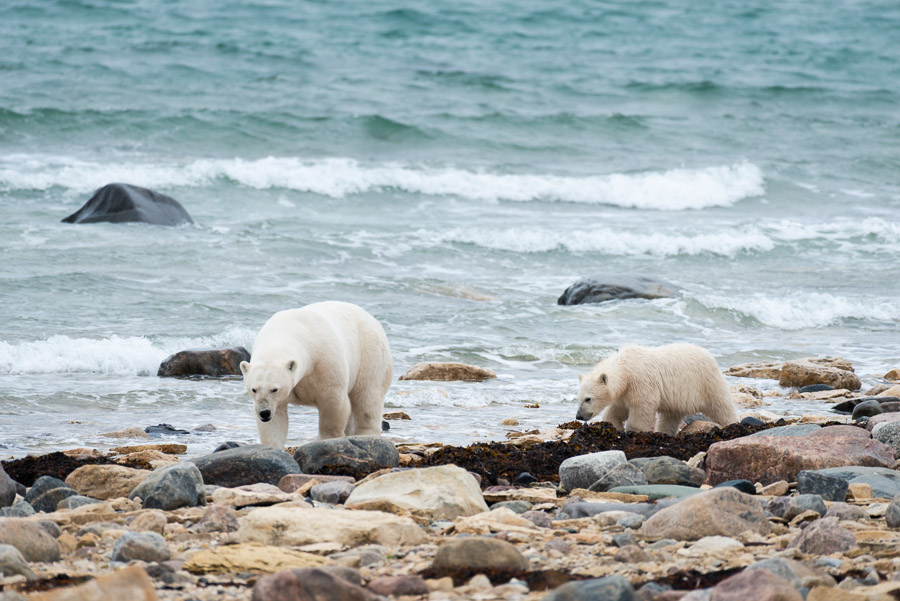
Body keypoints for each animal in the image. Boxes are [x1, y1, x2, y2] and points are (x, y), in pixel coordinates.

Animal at [240, 301, 393, 449]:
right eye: (254, 389)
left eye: (274, 389)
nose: (264, 413)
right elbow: (276, 417)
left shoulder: (325, 363)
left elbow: (333, 404)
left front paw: (326, 439)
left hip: (370, 356)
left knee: (367, 397)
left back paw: (364, 434)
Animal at [575, 343, 737, 436]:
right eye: (578, 399)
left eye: (588, 398)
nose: (579, 416)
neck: (625, 367)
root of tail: (710, 356)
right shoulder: (624, 392)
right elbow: (617, 410)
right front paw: (615, 426)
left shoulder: (641, 383)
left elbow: (642, 408)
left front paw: (634, 432)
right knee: (669, 417)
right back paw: (664, 433)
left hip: (705, 383)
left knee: (721, 406)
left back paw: (732, 424)